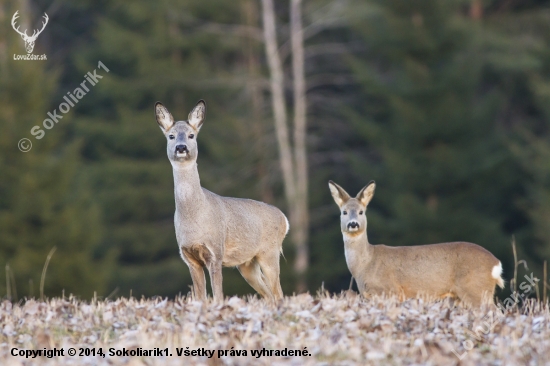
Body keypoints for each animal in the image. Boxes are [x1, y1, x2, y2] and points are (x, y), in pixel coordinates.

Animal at [155, 100, 288, 304]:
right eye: (171, 136)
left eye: (191, 135)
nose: (181, 147)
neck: (195, 216)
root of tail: (284, 219)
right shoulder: (189, 257)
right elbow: (200, 298)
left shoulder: (215, 252)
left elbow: (218, 296)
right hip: (247, 263)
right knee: (268, 295)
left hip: (269, 252)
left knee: (279, 293)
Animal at [330, 180, 506, 306]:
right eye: (344, 212)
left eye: (361, 212)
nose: (353, 224)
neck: (365, 264)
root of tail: (496, 264)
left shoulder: (390, 290)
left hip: (476, 289)